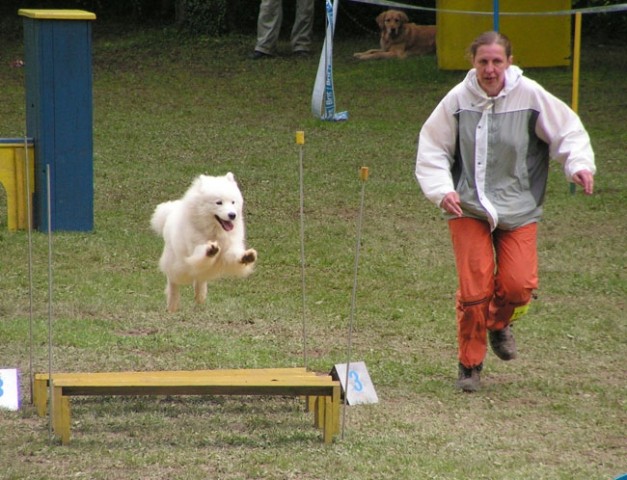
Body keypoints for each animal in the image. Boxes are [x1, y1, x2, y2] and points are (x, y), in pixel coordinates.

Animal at [150, 172, 258, 312]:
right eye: (219, 203)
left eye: (233, 202)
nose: (232, 215)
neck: (215, 232)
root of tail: (169, 214)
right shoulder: (195, 249)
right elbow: (202, 252)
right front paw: (211, 250)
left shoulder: (228, 250)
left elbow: (235, 255)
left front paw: (247, 257)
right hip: (180, 268)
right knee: (173, 282)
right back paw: (172, 306)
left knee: (199, 283)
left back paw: (200, 300)